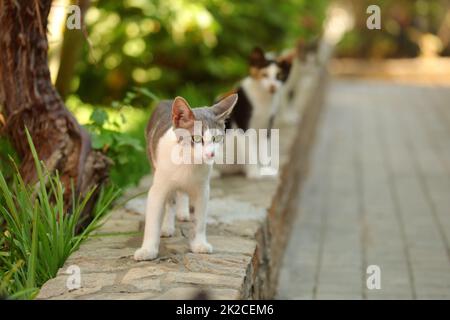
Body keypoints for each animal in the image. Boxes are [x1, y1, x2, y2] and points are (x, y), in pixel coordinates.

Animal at [134, 94, 239, 260]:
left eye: (216, 139)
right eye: (196, 138)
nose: (211, 154)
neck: (189, 162)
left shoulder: (203, 189)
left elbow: (200, 220)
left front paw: (199, 244)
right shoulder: (158, 189)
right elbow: (153, 221)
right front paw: (148, 250)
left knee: (181, 192)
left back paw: (183, 211)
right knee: (170, 201)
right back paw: (167, 226)